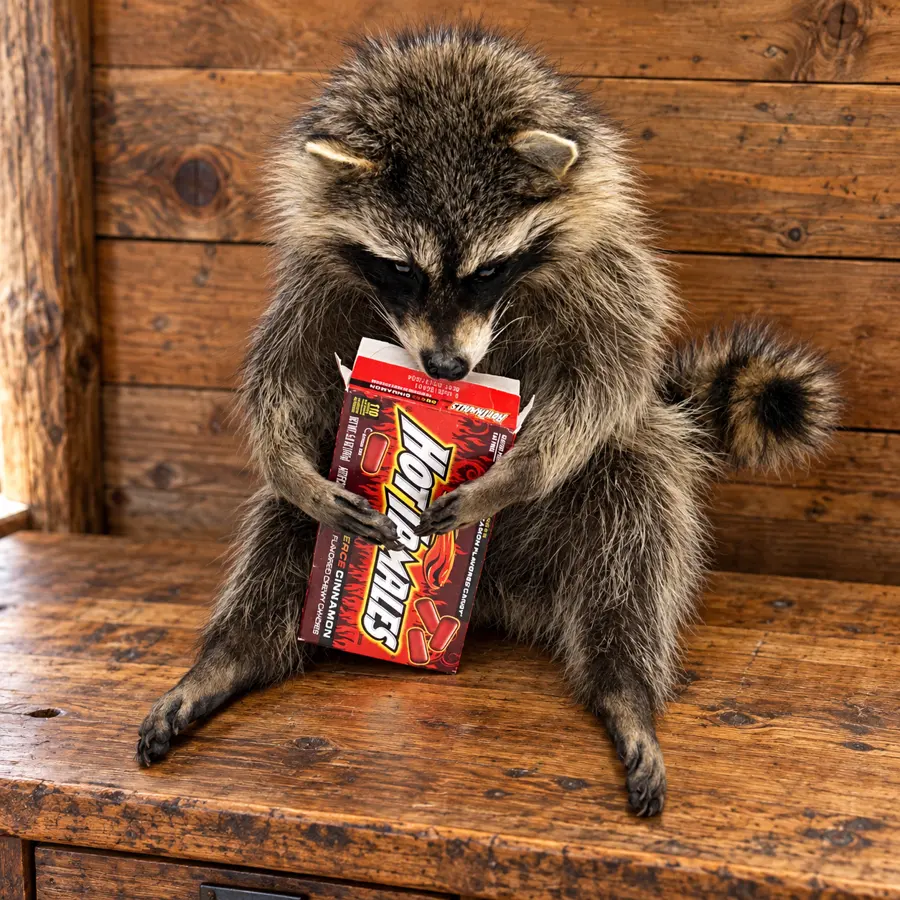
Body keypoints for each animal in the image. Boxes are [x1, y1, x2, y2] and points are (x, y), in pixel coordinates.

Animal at [137, 26, 839, 816]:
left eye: (486, 271)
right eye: (402, 270)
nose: (445, 369)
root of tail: (502, 599)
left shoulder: (606, 271)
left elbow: (609, 375)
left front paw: (517, 469)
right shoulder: (315, 281)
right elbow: (282, 379)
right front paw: (291, 468)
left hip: (607, 507)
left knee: (638, 503)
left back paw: (623, 683)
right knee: (284, 526)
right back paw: (232, 654)